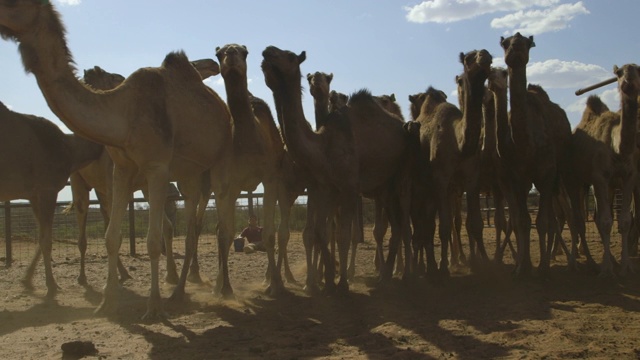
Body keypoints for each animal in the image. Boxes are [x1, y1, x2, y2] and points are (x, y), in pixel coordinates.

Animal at [0, 2, 236, 318]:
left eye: (14, 4)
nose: (212, 63)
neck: (125, 113)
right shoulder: (122, 169)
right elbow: (112, 237)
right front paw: (106, 302)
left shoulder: (157, 167)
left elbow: (152, 240)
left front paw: (153, 307)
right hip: (188, 174)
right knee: (191, 231)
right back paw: (179, 291)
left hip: (218, 160)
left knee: (218, 226)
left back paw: (223, 290)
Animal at [262, 45, 416, 292]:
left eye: (289, 56)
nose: (268, 51)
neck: (323, 145)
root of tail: (405, 126)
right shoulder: (326, 188)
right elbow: (320, 233)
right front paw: (326, 279)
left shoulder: (350, 187)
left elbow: (343, 235)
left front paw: (341, 282)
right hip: (385, 186)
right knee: (397, 226)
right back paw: (385, 277)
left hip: (402, 178)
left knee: (403, 224)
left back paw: (404, 275)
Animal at [408, 48, 492, 278]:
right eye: (469, 58)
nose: (485, 55)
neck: (459, 143)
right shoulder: (441, 179)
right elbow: (444, 226)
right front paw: (443, 267)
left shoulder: (471, 179)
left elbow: (476, 223)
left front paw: (483, 263)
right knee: (422, 227)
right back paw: (423, 267)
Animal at [498, 33, 572, 278]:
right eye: (505, 43)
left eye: (526, 42)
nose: (515, 49)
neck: (525, 144)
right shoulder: (517, 178)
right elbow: (523, 220)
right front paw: (522, 268)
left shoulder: (546, 174)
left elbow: (542, 222)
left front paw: (542, 269)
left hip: (560, 174)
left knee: (563, 214)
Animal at [564, 63, 640, 276]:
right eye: (619, 73)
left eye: (638, 70)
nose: (628, 82)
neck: (617, 147)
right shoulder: (600, 178)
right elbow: (606, 221)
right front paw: (606, 269)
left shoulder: (629, 177)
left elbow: (624, 221)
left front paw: (626, 266)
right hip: (573, 181)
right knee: (575, 219)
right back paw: (577, 262)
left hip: (597, 184)